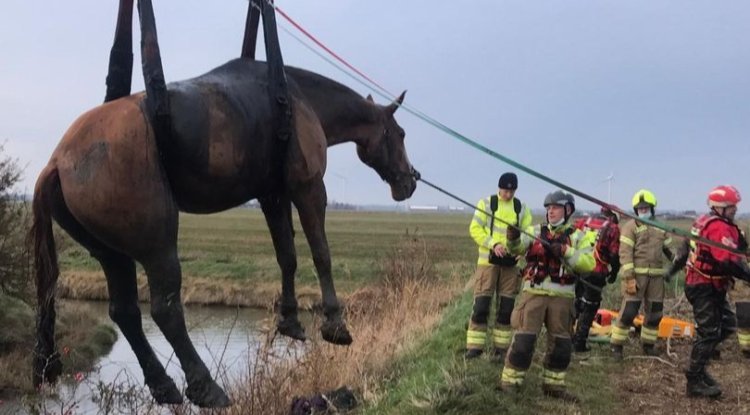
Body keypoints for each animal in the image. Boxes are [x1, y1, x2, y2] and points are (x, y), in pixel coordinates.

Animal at [31, 58, 417, 407]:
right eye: (400, 134)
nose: (411, 181)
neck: (297, 98)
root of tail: (57, 163)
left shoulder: (272, 195)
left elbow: (287, 257)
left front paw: (290, 320)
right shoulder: (308, 188)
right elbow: (321, 253)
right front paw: (335, 324)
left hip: (112, 255)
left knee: (125, 312)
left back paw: (164, 386)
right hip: (158, 247)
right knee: (165, 311)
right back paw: (206, 387)